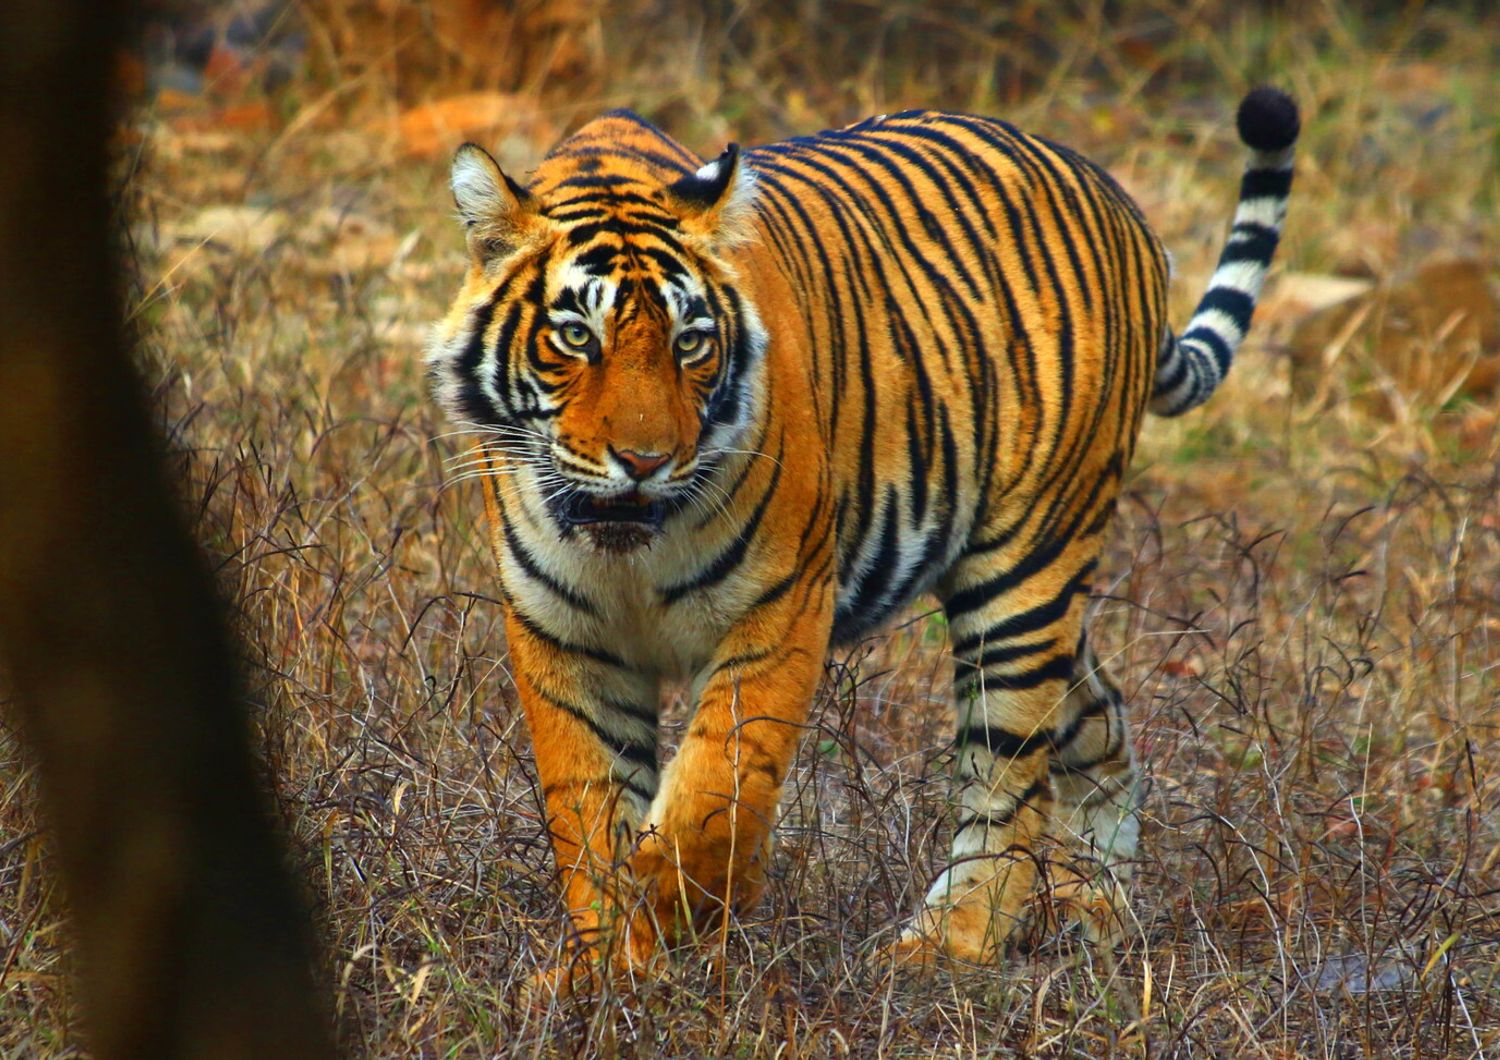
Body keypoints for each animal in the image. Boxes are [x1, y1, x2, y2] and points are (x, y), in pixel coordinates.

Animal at [429, 89, 1296, 989]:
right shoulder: (563, 633)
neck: (630, 550)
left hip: (1026, 572)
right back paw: (1094, 904)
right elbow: (589, 808)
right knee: (1100, 716)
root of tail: (1117, 199)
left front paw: (675, 916)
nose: (644, 461)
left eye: (689, 343)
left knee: (1010, 773)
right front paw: (608, 970)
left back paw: (950, 943)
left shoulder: (778, 608)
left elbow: (716, 794)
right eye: (577, 337)